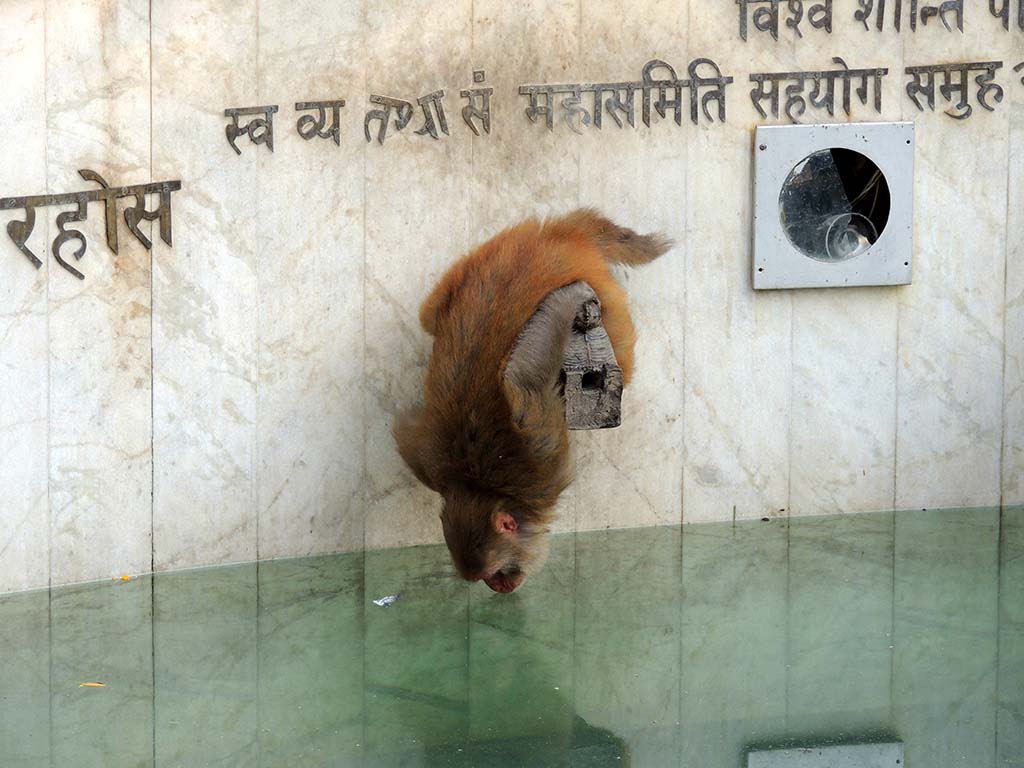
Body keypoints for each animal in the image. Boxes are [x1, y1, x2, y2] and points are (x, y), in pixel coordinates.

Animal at [393, 210, 671, 593]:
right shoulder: (427, 465)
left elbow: (522, 381)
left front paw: (568, 298)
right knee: (430, 315)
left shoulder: (545, 471)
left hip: (608, 306)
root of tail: (556, 235)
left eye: (495, 572)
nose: (500, 586)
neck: (476, 485)